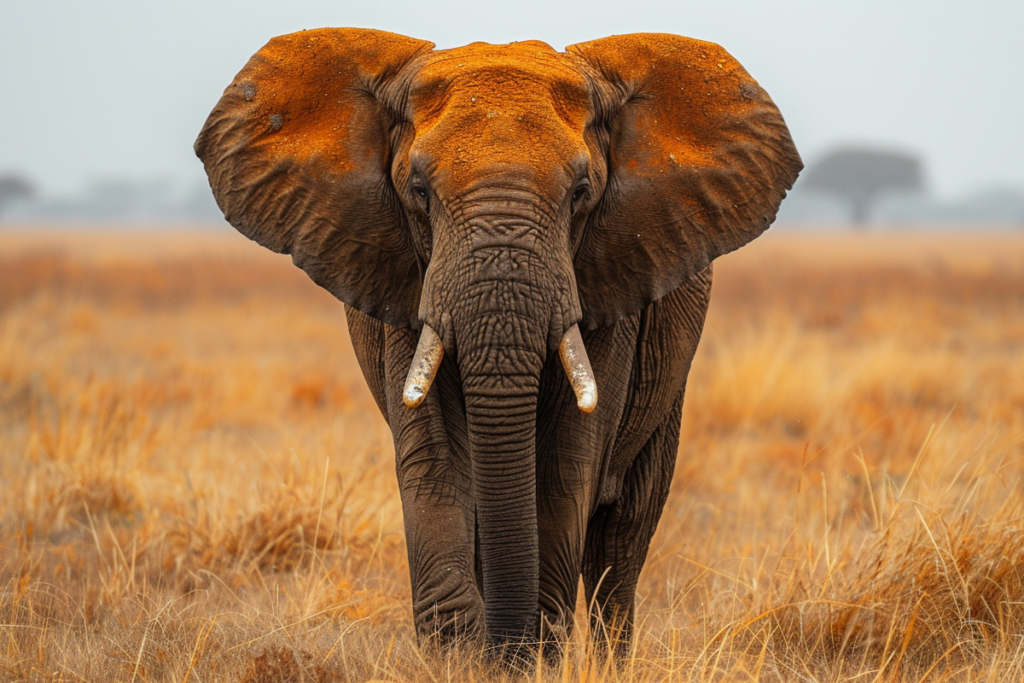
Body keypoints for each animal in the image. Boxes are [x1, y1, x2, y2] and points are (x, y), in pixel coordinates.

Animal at [195, 28, 801, 654]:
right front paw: (461, 653)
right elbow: (434, 455)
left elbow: (568, 461)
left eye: (582, 191)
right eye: (418, 190)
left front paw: (527, 649)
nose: (507, 644)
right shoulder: (406, 279)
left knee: (622, 541)